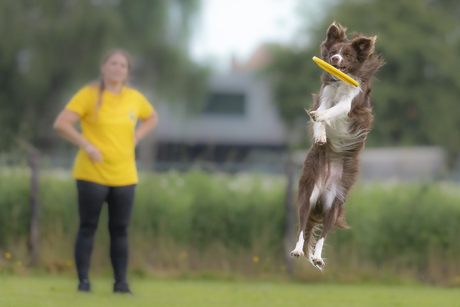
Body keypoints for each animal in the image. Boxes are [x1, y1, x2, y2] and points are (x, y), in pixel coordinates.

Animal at [292, 22, 384, 270]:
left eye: (347, 55)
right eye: (333, 51)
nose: (334, 58)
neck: (341, 83)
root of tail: (324, 188)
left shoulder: (350, 102)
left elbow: (332, 111)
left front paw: (319, 117)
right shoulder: (326, 95)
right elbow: (323, 111)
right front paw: (320, 134)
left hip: (334, 203)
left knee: (324, 234)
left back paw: (317, 257)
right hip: (307, 195)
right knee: (302, 226)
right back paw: (297, 250)